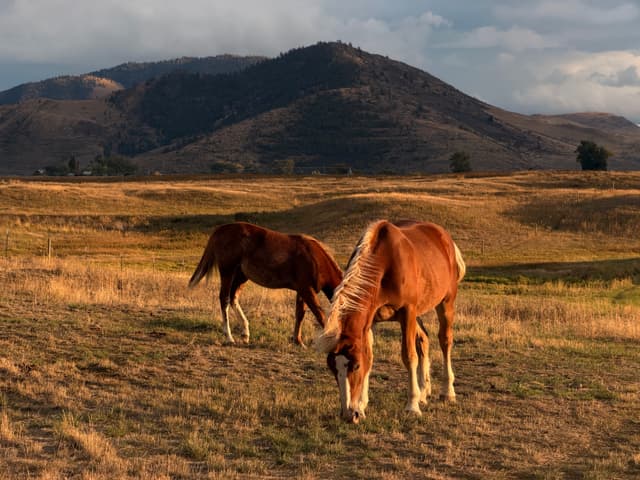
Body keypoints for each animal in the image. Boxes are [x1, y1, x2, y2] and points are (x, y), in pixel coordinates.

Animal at [189, 222, 343, 346]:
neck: (315, 259)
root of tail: (219, 230)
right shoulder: (306, 290)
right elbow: (320, 315)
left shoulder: (303, 291)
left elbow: (300, 314)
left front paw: (298, 341)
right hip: (228, 271)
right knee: (224, 299)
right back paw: (229, 337)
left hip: (241, 276)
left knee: (233, 298)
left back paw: (245, 333)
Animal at [316, 219, 465, 423]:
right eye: (332, 368)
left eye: (355, 366)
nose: (348, 415)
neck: (385, 264)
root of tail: (444, 237)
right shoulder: (370, 320)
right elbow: (370, 356)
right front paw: (361, 406)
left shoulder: (407, 312)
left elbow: (409, 356)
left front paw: (412, 406)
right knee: (424, 339)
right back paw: (424, 391)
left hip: (445, 303)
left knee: (445, 341)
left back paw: (447, 392)